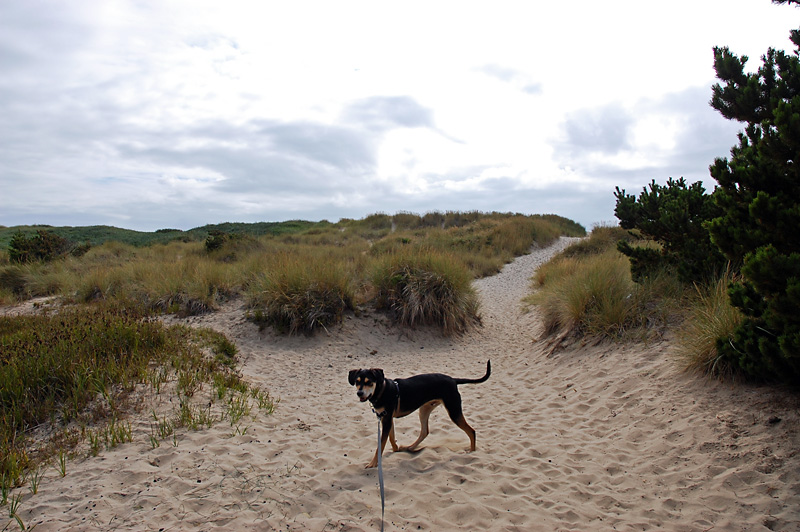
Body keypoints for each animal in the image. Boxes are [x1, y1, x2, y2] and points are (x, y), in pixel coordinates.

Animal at [348, 360, 490, 468]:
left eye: (369, 382)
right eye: (357, 381)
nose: (359, 393)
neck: (382, 390)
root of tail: (453, 380)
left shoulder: (387, 420)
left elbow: (381, 445)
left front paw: (373, 463)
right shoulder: (387, 419)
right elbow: (391, 438)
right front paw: (396, 449)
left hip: (453, 411)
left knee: (471, 431)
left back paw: (472, 452)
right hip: (424, 410)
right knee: (424, 431)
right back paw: (410, 447)